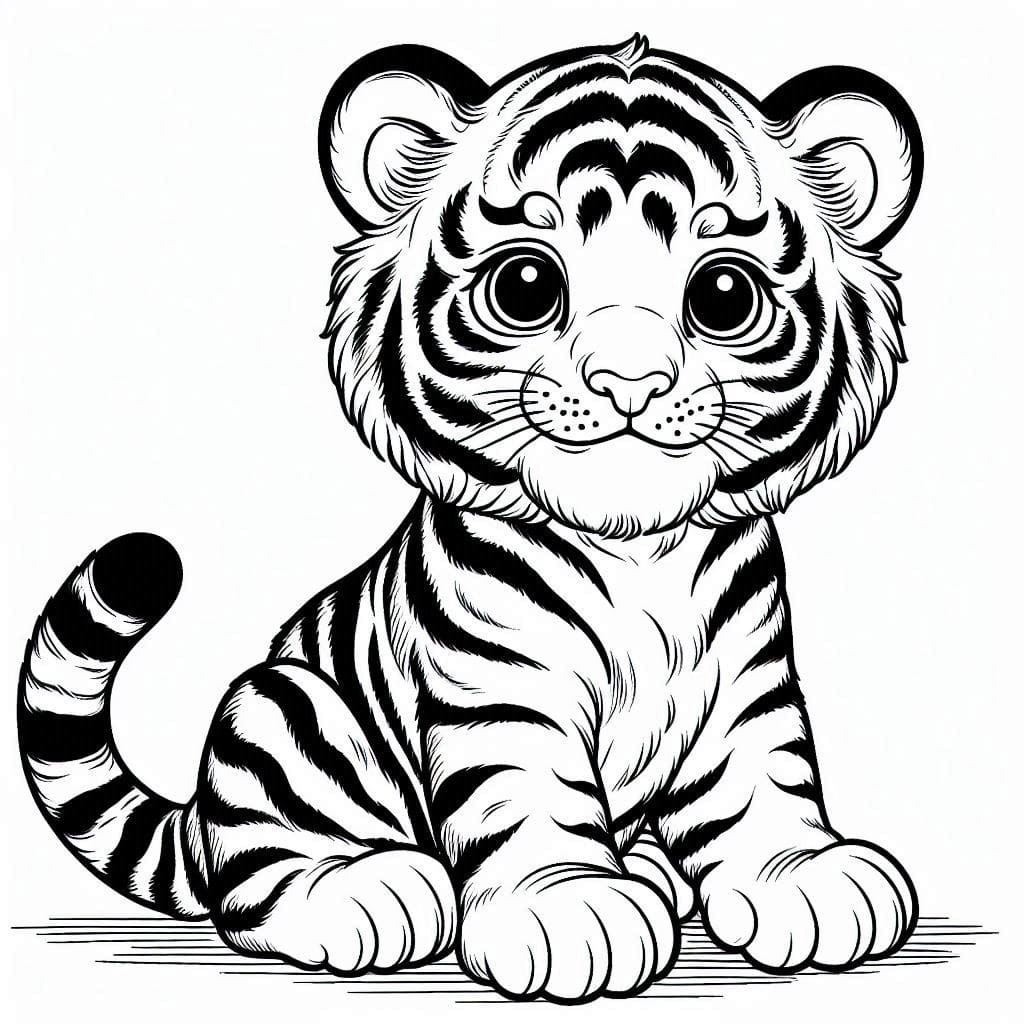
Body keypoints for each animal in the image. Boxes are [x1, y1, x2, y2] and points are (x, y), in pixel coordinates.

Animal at [17, 35, 923, 1002]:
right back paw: (376, 893)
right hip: (282, 709)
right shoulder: (498, 690)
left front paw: (810, 878)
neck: (639, 555)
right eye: (526, 285)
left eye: (723, 294)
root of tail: (196, 817)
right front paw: (573, 909)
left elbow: (764, 778)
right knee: (253, 885)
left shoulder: (744, 682)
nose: (630, 383)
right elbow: (524, 795)